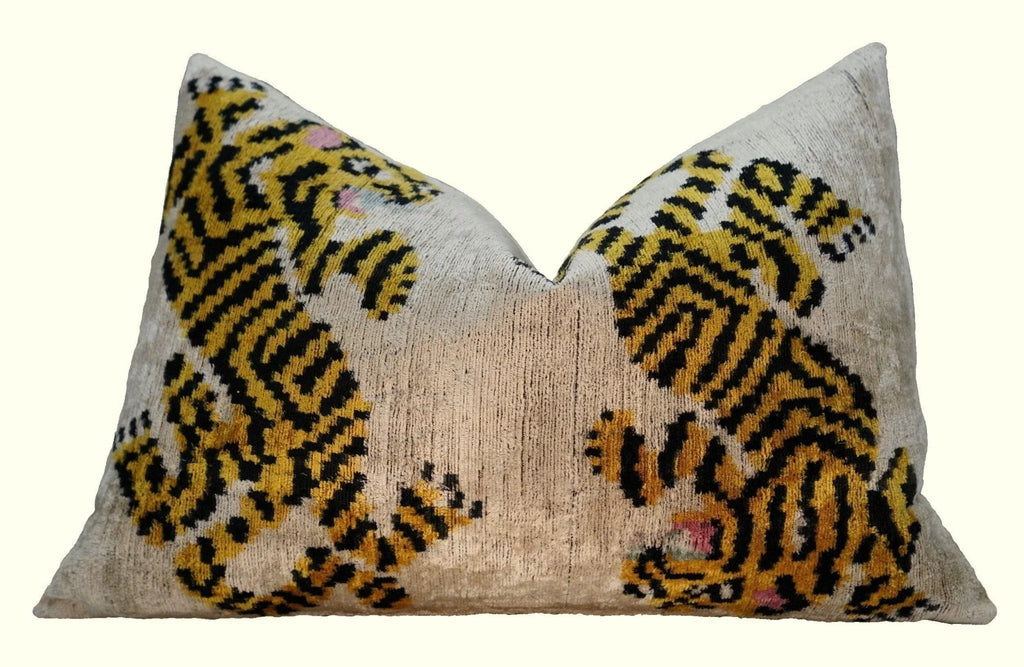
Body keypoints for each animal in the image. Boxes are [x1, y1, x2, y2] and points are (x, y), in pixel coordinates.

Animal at [111, 74, 483, 615]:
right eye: (369, 166)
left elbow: (321, 246)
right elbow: (318, 236)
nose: (417, 189)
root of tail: (285, 463)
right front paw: (377, 270)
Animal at [573, 150, 936, 619]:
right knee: (755, 219)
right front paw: (614, 445)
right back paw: (815, 250)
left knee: (748, 225)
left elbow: (681, 457)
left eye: (719, 592)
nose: (637, 571)